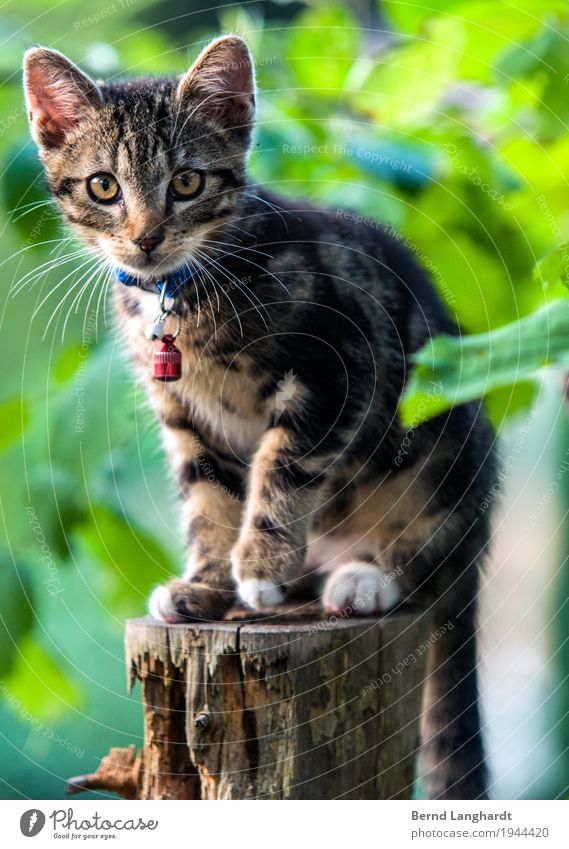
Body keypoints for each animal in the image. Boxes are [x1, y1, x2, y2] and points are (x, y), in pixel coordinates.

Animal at [23, 34, 492, 800]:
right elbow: (210, 495)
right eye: (103, 186)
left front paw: (259, 562)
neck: (181, 295)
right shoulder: (184, 415)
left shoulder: (340, 365)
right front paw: (210, 581)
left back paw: (364, 579)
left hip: (447, 443)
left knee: (435, 559)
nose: (146, 239)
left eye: (187, 183)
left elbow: (282, 465)